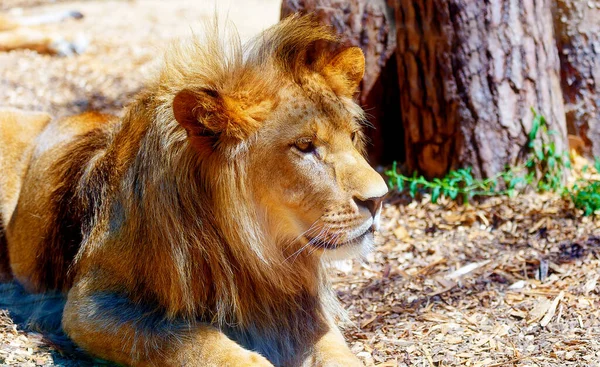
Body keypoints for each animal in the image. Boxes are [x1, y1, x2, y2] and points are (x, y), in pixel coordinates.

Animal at [0, 15, 390, 367]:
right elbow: (197, 343)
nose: (379, 199)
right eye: (305, 146)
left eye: (352, 137)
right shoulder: (91, 305)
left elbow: (336, 353)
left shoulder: (297, 307)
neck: (252, 253)